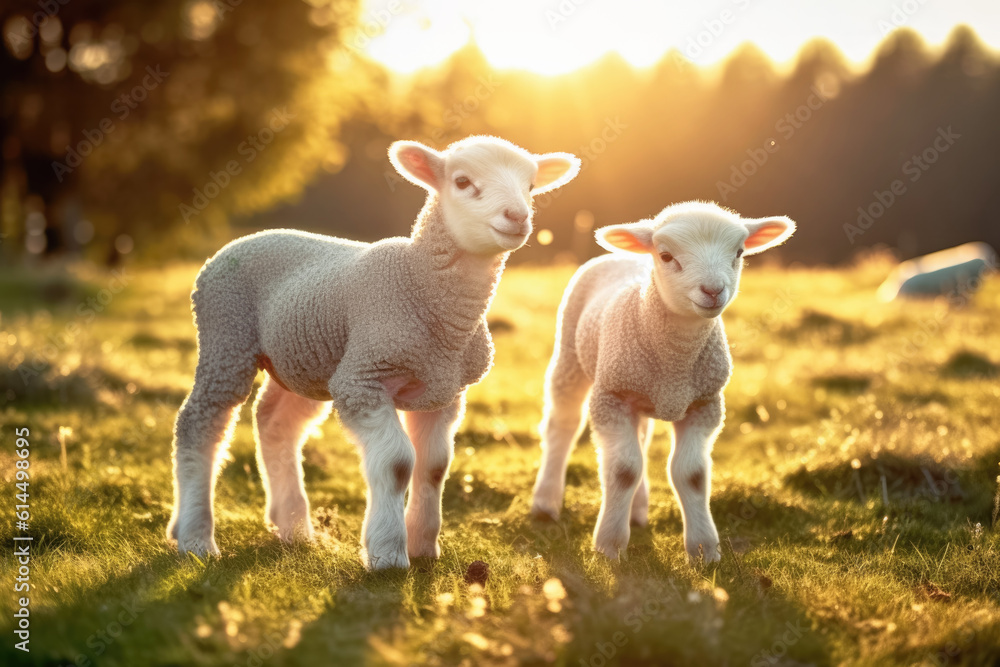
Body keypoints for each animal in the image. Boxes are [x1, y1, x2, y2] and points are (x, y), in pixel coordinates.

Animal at [167, 135, 581, 570]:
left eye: (531, 186)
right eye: (463, 181)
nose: (517, 216)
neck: (422, 287)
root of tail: (248, 238)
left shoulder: (445, 392)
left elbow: (434, 467)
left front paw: (423, 547)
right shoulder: (363, 379)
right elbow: (398, 463)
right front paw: (387, 553)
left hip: (304, 359)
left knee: (276, 422)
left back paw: (293, 528)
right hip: (226, 334)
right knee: (200, 422)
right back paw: (196, 538)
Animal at [530, 201, 795, 563]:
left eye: (739, 252)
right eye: (667, 256)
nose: (713, 290)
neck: (675, 363)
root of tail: (622, 256)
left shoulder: (705, 403)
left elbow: (692, 474)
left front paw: (704, 550)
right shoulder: (611, 397)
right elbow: (622, 470)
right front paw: (609, 546)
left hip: (640, 393)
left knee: (640, 439)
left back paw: (637, 511)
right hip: (570, 354)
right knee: (563, 424)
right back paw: (545, 503)